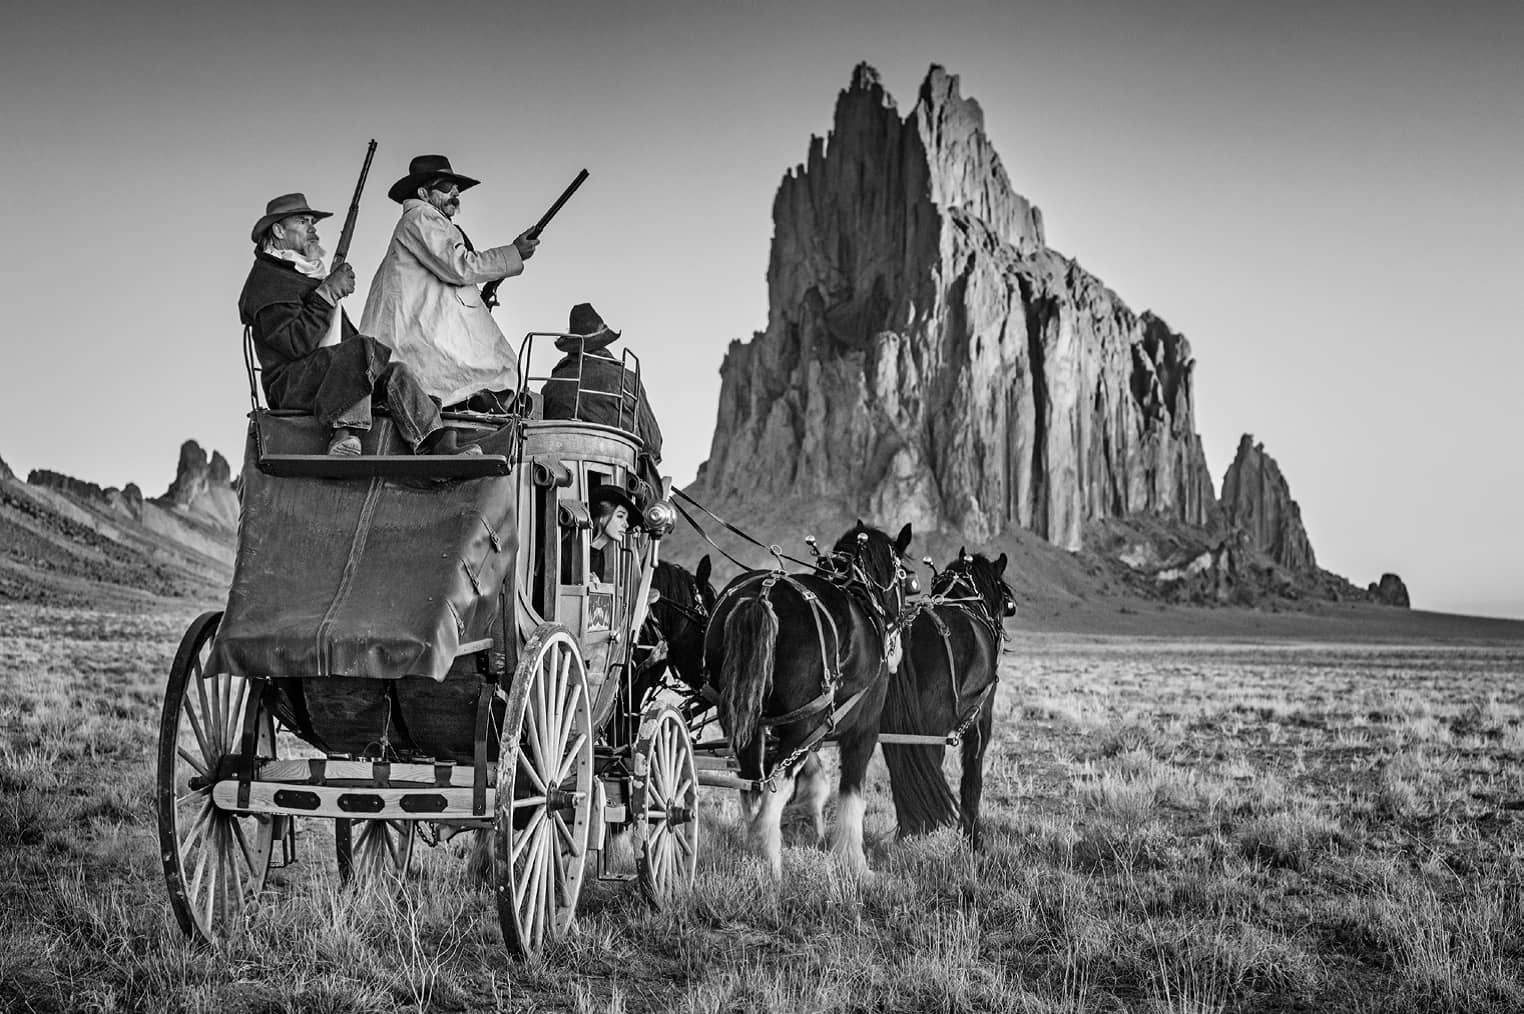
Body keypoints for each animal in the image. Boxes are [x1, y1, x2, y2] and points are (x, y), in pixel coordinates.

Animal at [707, 518, 908, 872]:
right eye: (902, 575)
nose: (898, 627)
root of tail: (763, 595)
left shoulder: (815, 726)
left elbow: (816, 781)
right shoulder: (862, 729)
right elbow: (852, 793)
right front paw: (854, 862)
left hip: (746, 718)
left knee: (752, 784)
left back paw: (754, 850)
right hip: (801, 722)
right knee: (774, 789)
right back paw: (770, 863)